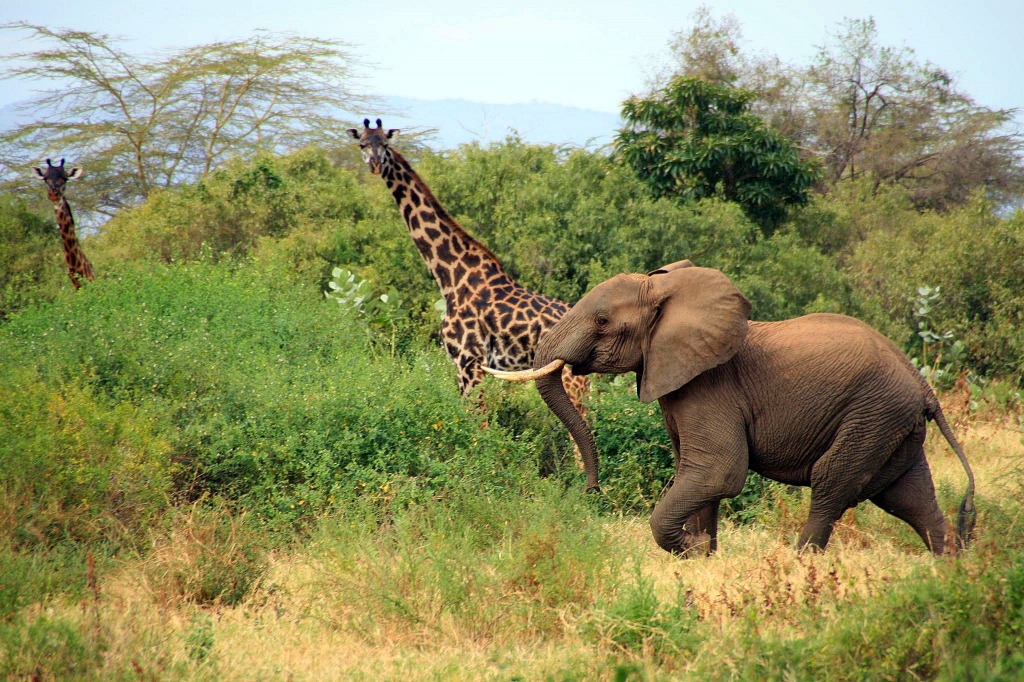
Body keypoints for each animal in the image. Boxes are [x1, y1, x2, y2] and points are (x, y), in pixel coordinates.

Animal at [348, 120, 589, 419]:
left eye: (385, 144)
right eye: (362, 144)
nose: (375, 165)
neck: (450, 277)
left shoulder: (470, 361)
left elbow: (477, 422)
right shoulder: (462, 365)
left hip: (571, 377)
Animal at [487, 260, 974, 552]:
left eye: (602, 321)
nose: (589, 491)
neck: (666, 291)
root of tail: (922, 384)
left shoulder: (710, 386)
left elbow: (717, 472)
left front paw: (692, 550)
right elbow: (696, 473)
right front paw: (703, 555)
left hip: (872, 414)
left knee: (833, 483)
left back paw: (799, 565)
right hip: (892, 424)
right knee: (909, 497)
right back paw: (950, 569)